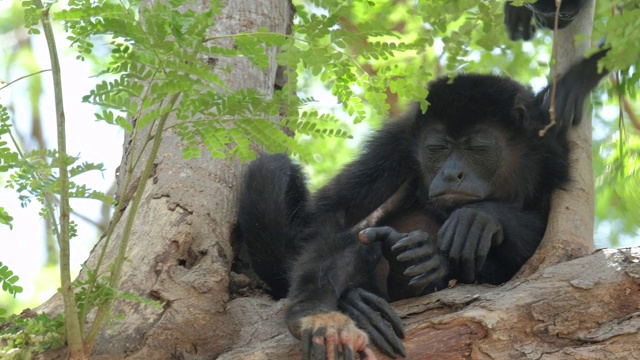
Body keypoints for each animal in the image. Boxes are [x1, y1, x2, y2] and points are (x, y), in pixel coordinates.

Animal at [238, 52, 608, 358]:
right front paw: (317, 312)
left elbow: (550, 247)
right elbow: (330, 216)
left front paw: (480, 218)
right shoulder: (400, 139)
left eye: (476, 147)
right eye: (437, 148)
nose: (451, 173)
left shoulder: (551, 153)